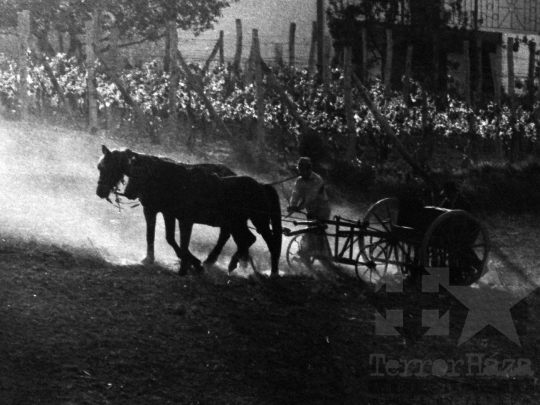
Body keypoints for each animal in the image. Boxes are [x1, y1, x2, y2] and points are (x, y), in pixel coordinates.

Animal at [96, 144, 235, 266]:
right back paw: (210, 260)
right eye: (99, 167)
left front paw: (189, 259)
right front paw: (149, 258)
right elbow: (151, 235)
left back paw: (210, 259)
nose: (100, 192)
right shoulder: (151, 210)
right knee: (225, 235)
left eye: (107, 167)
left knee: (224, 235)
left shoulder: (169, 213)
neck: (154, 176)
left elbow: (170, 238)